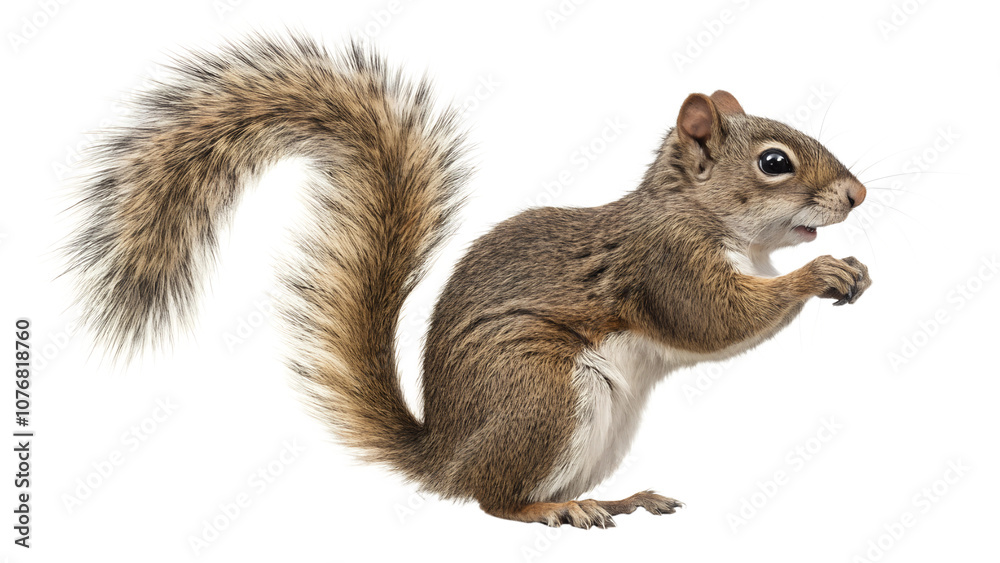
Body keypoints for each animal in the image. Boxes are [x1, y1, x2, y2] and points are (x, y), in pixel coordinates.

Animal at [66, 34, 871, 529]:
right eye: (775, 163)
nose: (859, 195)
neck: (709, 220)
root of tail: (446, 454)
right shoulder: (663, 263)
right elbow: (716, 319)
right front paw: (819, 272)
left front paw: (851, 268)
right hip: (544, 392)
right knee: (493, 501)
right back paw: (551, 511)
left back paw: (618, 498)